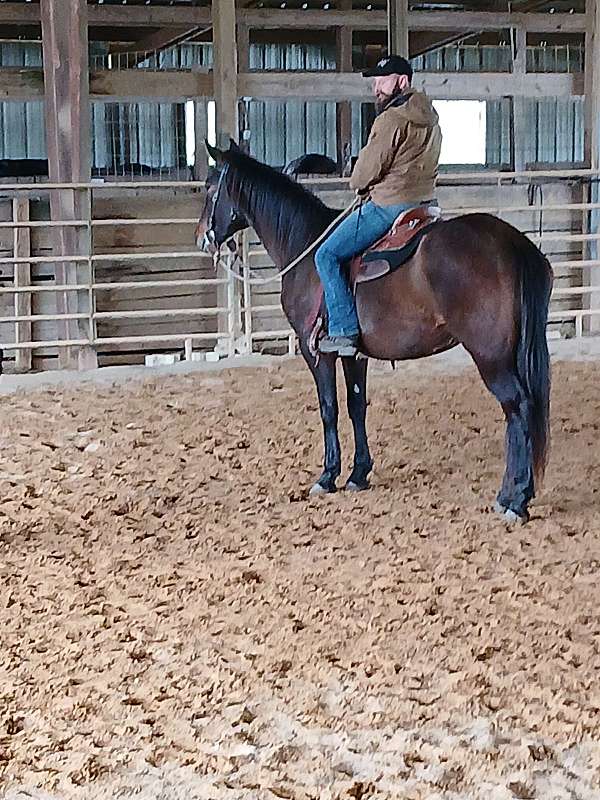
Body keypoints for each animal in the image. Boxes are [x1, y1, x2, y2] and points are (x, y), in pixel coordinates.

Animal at [197, 141, 552, 520]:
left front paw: (327, 476)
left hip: (491, 357)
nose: (201, 238)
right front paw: (358, 473)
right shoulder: (354, 354)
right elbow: (356, 406)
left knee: (518, 408)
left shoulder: (315, 351)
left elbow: (328, 408)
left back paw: (514, 499)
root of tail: (511, 243)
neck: (305, 246)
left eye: (209, 189)